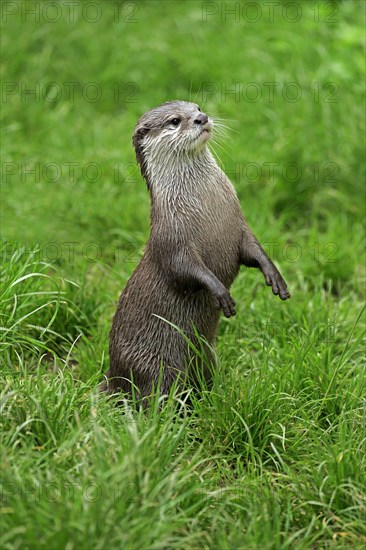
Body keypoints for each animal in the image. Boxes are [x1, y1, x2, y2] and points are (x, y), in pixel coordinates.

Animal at [102, 100, 288, 402]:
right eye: (175, 120)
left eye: (197, 107)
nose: (202, 118)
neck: (206, 204)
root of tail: (114, 376)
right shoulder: (171, 238)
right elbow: (183, 270)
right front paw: (221, 293)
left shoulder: (238, 226)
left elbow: (253, 251)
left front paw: (275, 277)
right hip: (157, 368)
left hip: (208, 355)